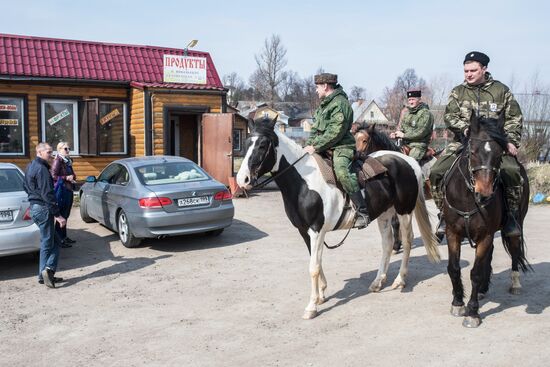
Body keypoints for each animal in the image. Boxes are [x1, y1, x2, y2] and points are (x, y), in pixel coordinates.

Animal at [238, 117, 444, 320]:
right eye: (247, 142)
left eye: (262, 145)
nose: (242, 180)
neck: (304, 181)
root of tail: (408, 160)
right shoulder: (304, 231)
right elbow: (316, 262)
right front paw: (321, 294)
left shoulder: (316, 230)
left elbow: (313, 267)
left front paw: (311, 306)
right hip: (385, 214)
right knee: (387, 243)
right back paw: (378, 282)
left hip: (404, 211)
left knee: (407, 241)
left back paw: (399, 280)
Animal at [444, 113, 532, 330]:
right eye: (472, 152)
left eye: (500, 154)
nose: (484, 194)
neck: (468, 198)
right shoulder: (452, 233)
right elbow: (454, 267)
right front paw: (457, 302)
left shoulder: (485, 235)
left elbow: (475, 272)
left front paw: (472, 313)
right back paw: (484, 289)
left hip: (516, 225)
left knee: (515, 251)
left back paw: (515, 284)